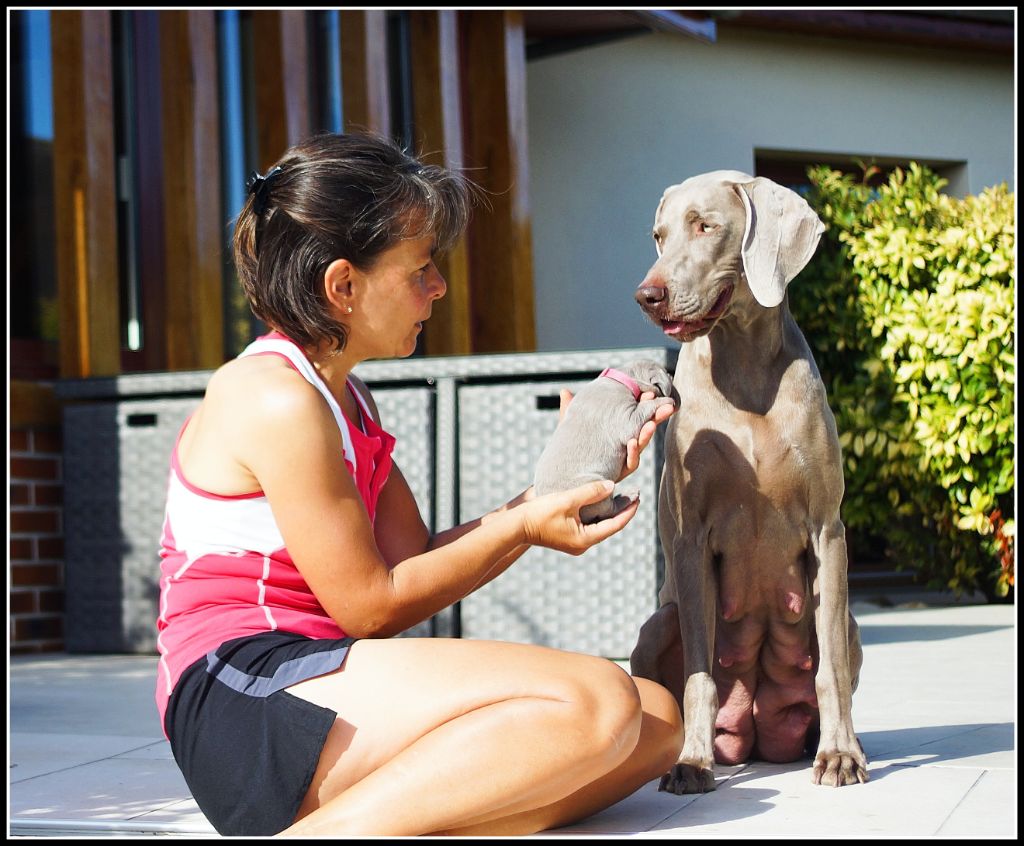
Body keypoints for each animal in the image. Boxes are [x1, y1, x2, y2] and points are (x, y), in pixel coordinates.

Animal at [532, 360, 675, 524]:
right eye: (666, 372)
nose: (671, 375)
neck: (621, 377)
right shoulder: (627, 419)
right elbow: (645, 407)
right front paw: (664, 401)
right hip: (594, 487)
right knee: (608, 511)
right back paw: (627, 497)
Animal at [630, 170, 864, 790]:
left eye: (705, 226)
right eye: (658, 235)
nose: (646, 295)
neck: (743, 366)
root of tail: (755, 735)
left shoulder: (827, 531)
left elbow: (830, 670)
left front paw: (840, 755)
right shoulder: (690, 539)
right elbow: (698, 677)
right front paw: (691, 762)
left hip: (851, 620)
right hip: (656, 625)